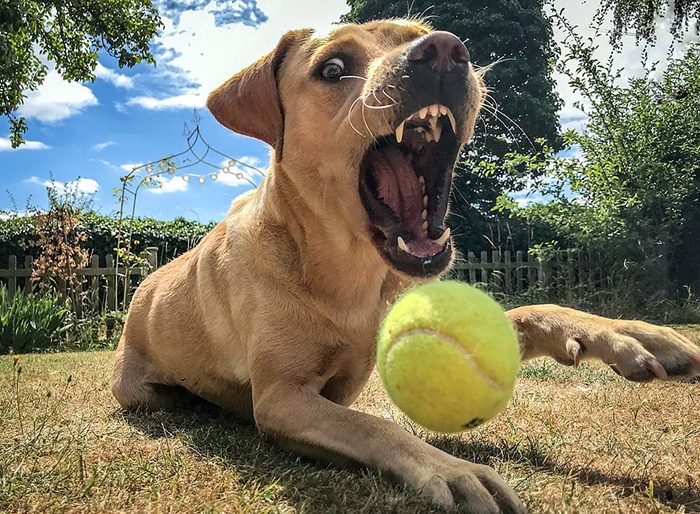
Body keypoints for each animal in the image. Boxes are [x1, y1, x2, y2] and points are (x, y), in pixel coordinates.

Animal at [112, 18, 700, 510]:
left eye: (417, 35)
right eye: (333, 68)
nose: (443, 51)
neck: (350, 276)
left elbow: (528, 311)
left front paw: (628, 333)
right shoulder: (281, 398)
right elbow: (376, 427)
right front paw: (452, 469)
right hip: (135, 390)